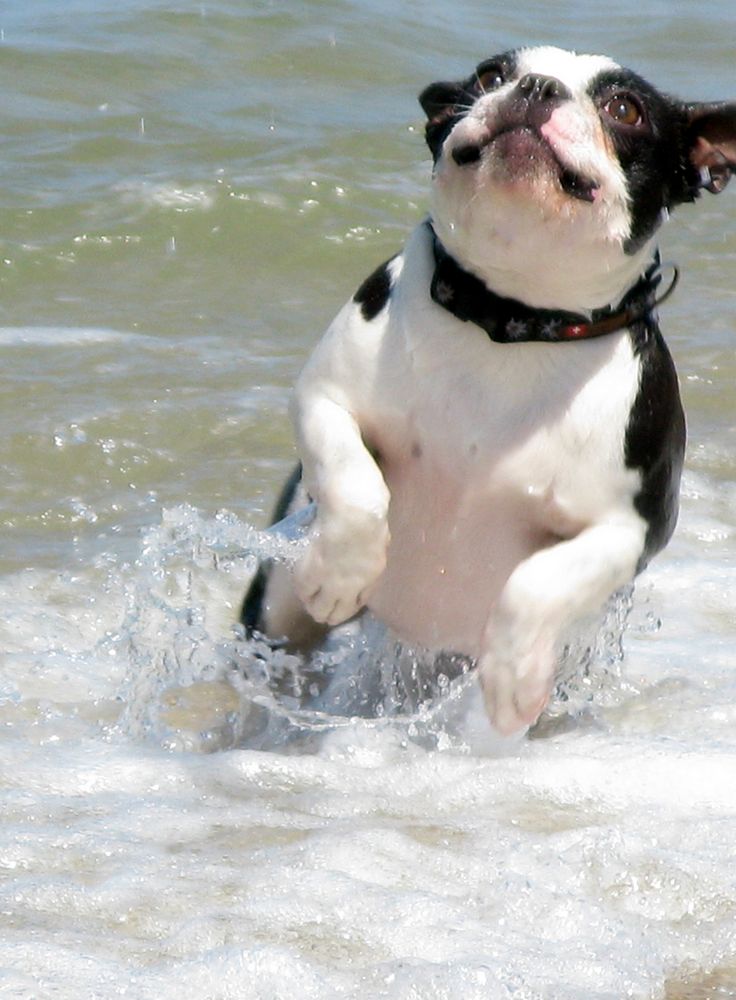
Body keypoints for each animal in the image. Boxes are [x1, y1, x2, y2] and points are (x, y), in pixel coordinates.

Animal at [242, 47, 736, 736]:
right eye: (491, 76)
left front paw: (513, 677)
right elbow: (355, 483)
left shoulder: (631, 526)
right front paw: (340, 572)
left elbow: (537, 582)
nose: (537, 87)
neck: (511, 319)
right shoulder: (323, 398)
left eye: (625, 109)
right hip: (278, 605)